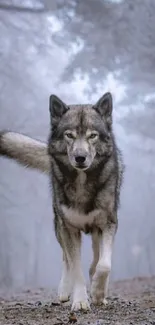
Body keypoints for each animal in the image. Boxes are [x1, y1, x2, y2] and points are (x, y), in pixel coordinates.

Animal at [0, 92, 123, 312]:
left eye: (92, 135)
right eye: (69, 135)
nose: (80, 157)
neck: (82, 183)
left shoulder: (109, 223)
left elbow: (104, 264)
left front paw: (98, 293)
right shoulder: (69, 228)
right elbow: (75, 268)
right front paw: (80, 300)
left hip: (95, 231)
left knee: (95, 258)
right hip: (58, 227)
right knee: (66, 259)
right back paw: (65, 291)